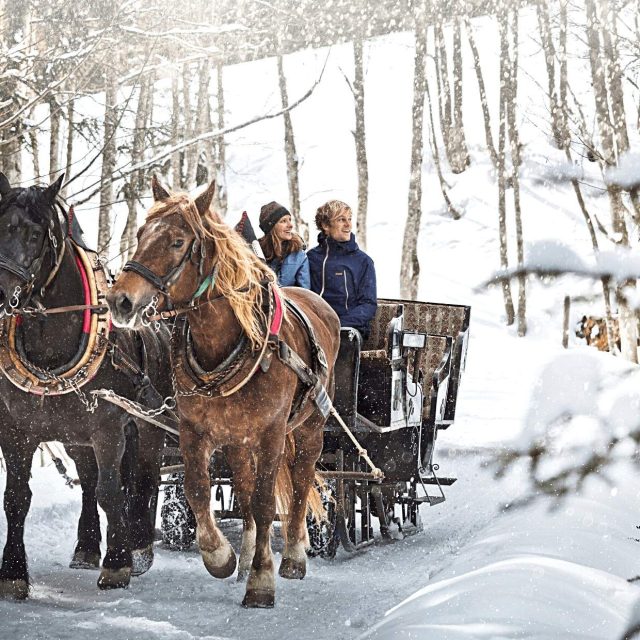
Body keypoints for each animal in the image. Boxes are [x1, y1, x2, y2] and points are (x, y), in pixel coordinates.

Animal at [0, 172, 170, 596]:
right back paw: (87, 547)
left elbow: (113, 491)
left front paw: (119, 563)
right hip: (75, 435)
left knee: (143, 477)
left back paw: (140, 546)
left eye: (35, 235)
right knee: (90, 480)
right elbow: (15, 497)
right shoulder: (15, 429)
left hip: (148, 424)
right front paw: (13, 572)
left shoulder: (108, 426)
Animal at [107, 178, 342, 608]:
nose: (120, 300)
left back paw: (294, 555)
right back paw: (247, 555)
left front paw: (262, 581)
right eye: (141, 234)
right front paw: (221, 556)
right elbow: (198, 490)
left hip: (309, 426)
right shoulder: (194, 430)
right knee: (245, 492)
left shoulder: (271, 433)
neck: (228, 344)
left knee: (301, 482)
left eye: (178, 241)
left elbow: (267, 504)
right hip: (238, 440)